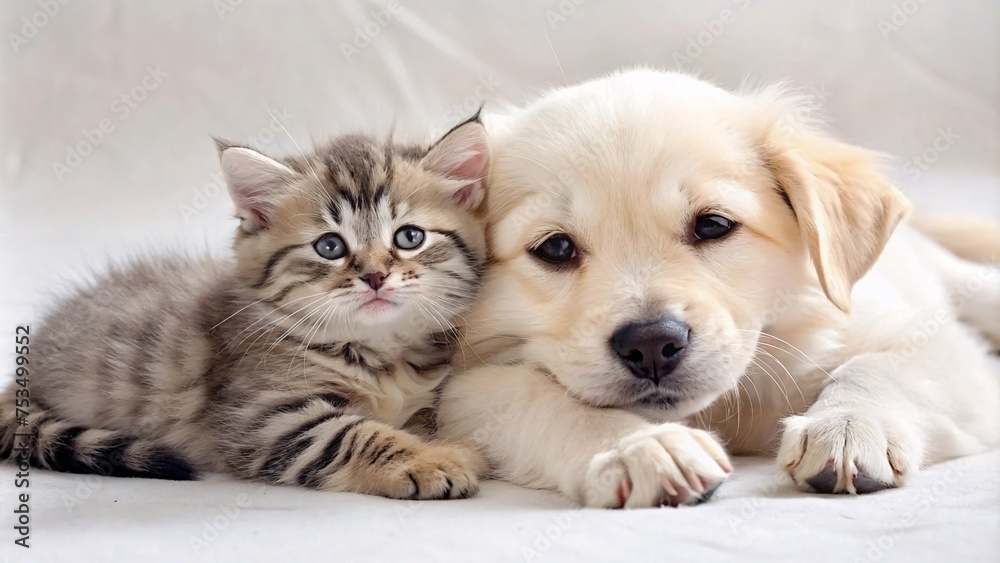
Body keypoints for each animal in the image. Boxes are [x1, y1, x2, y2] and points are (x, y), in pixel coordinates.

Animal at [0, 117, 492, 500]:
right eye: (330, 247)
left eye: (409, 237)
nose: (374, 276)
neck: (379, 353)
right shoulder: (264, 415)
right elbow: (356, 433)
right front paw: (432, 460)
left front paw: (442, 444)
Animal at [440, 68, 1000, 508]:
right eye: (556, 248)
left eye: (712, 225)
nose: (650, 345)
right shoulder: (463, 390)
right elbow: (541, 396)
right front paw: (640, 447)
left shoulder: (926, 338)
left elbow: (881, 365)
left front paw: (848, 426)